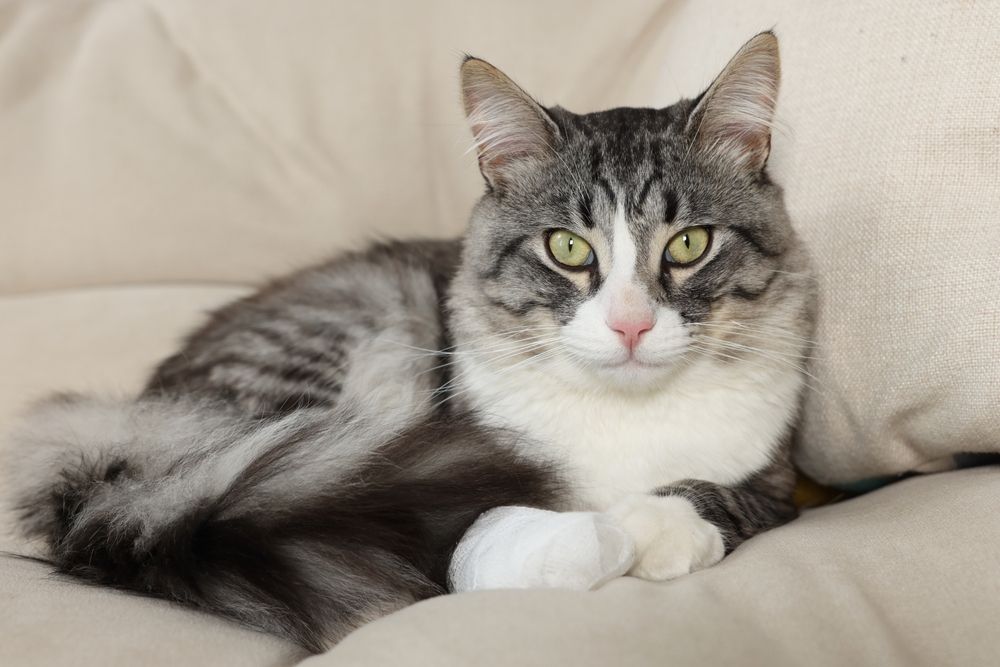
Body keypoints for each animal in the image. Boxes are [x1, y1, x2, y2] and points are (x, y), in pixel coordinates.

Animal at [3, 31, 812, 652]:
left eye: (690, 243)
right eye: (567, 248)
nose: (631, 324)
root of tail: (122, 445)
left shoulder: (782, 482)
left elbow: (726, 493)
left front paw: (657, 524)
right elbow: (500, 542)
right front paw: (618, 537)